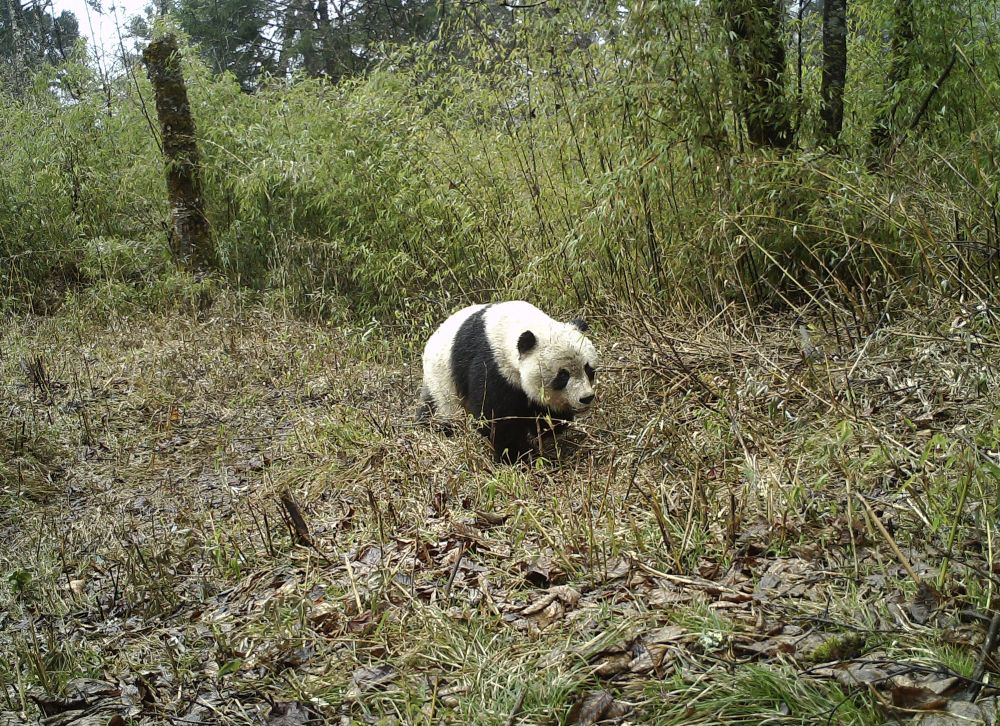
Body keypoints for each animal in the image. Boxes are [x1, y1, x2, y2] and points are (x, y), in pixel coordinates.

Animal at [418, 302, 596, 464]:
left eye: (588, 369)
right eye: (562, 376)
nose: (586, 397)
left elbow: (543, 412)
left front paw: (549, 428)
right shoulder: (491, 364)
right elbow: (496, 417)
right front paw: (518, 455)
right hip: (442, 382)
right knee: (441, 410)